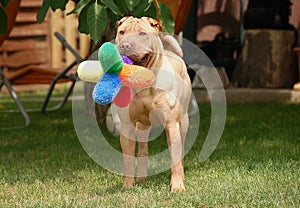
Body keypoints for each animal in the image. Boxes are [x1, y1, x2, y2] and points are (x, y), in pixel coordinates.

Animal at [116, 16, 191, 192]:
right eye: (122, 32)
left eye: (142, 33)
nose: (125, 45)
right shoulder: (127, 125)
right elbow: (128, 160)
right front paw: (127, 186)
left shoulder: (171, 123)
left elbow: (175, 158)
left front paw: (177, 187)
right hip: (142, 126)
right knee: (143, 150)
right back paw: (142, 179)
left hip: (183, 122)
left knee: (180, 150)